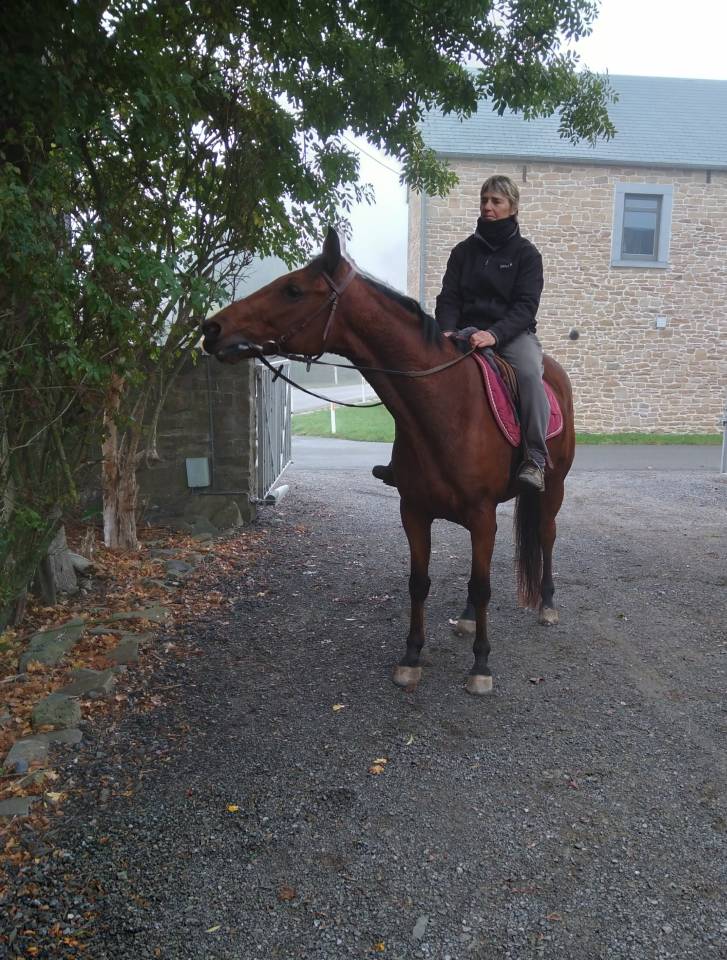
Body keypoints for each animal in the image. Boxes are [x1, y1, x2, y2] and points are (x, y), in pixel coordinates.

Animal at [201, 228, 575, 695]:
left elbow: (483, 586)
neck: (446, 407)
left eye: (293, 290)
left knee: (545, 536)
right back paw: (467, 619)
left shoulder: (480, 512)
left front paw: (481, 666)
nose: (212, 328)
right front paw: (412, 656)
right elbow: (421, 582)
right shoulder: (414, 511)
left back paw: (547, 605)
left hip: (553, 488)